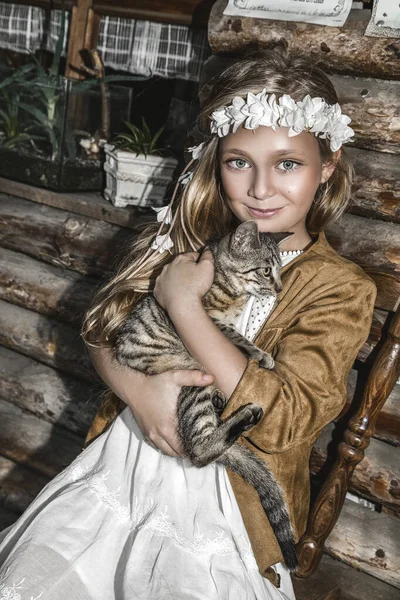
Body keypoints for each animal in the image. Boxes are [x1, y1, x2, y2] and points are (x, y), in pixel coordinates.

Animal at [114, 221, 298, 572]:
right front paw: (261, 354)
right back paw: (243, 415)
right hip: (194, 376)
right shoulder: (206, 318)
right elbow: (236, 336)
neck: (231, 287)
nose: (280, 288)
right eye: (266, 271)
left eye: (281, 271)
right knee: (199, 451)